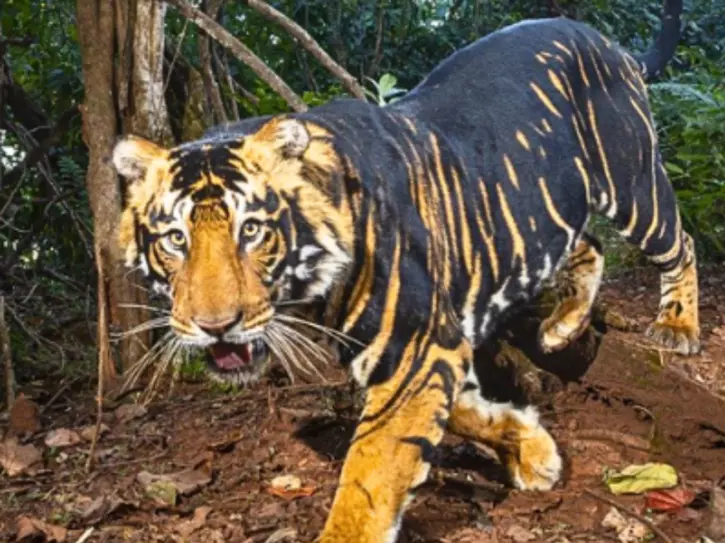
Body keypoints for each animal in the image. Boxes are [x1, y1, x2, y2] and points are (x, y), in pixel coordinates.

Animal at [111, 0, 698, 540]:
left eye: (251, 231)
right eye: (176, 239)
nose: (216, 326)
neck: (312, 297)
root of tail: (606, 42)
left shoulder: (416, 348)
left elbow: (370, 474)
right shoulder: (426, 348)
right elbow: (460, 410)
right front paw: (532, 450)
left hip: (634, 183)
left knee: (681, 243)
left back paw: (677, 327)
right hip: (550, 208)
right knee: (588, 244)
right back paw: (562, 326)